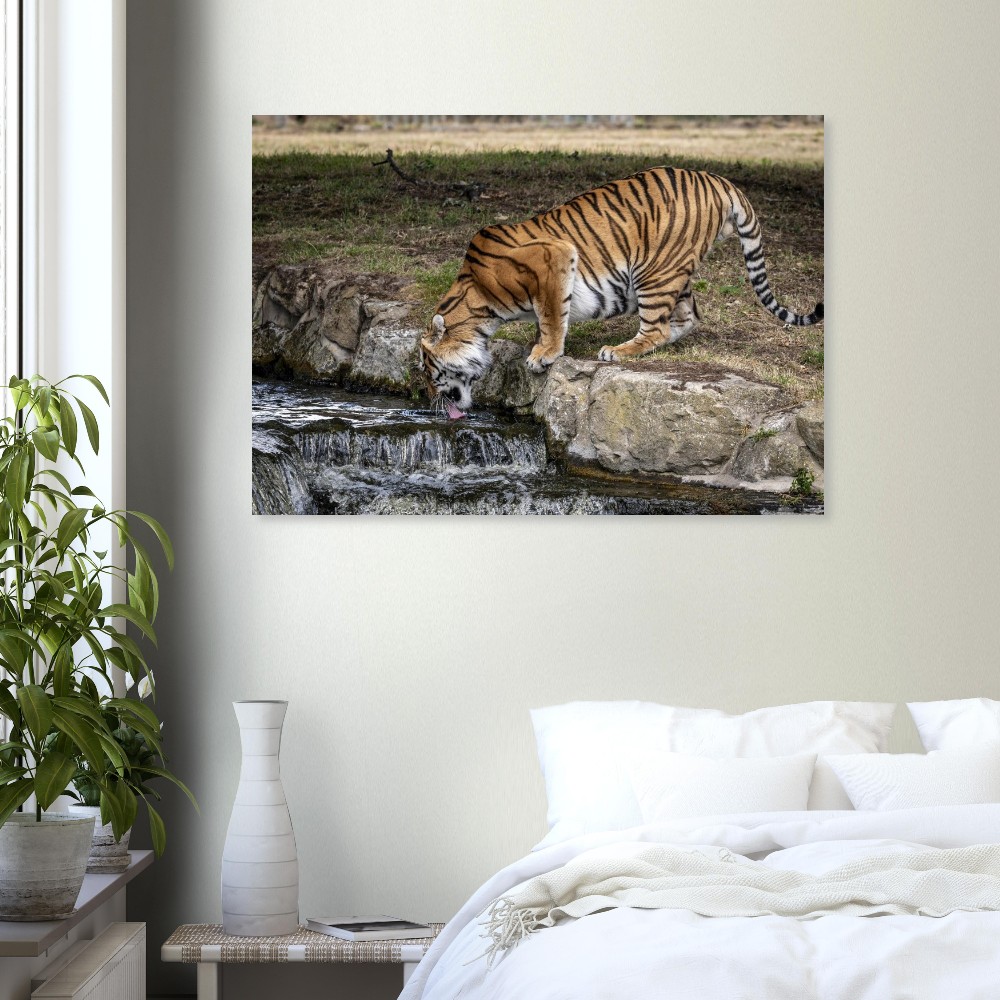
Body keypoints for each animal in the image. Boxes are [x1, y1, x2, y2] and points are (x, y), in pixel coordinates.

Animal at [420, 166, 823, 419]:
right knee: (687, 316)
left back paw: (618, 350)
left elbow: (551, 316)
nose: (429, 401)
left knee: (656, 327)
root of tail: (718, 179)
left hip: (653, 270)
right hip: (673, 272)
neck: (478, 303)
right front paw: (539, 346)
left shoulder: (554, 258)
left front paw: (543, 355)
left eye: (427, 370)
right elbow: (547, 318)